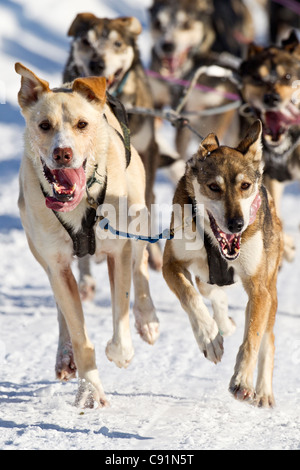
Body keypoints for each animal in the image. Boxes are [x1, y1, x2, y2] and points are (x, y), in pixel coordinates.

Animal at [14, 61, 159, 408]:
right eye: (44, 125)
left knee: (141, 268)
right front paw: (90, 389)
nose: (63, 153)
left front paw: (119, 352)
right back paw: (64, 355)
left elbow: (121, 315)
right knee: (61, 309)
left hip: (138, 219)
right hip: (45, 258)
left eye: (82, 124)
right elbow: (80, 334)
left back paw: (147, 319)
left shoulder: (119, 251)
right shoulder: (56, 264)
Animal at [163, 121, 282, 408]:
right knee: (209, 290)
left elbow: (253, 339)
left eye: (245, 185)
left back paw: (263, 391)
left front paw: (242, 382)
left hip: (270, 288)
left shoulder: (259, 289)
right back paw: (224, 324)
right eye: (214, 187)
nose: (236, 224)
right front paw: (209, 338)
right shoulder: (170, 263)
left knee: (268, 337)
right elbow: (191, 298)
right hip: (204, 273)